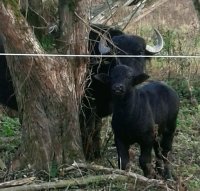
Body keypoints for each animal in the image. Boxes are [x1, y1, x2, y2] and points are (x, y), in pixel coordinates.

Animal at [80, 24, 165, 160]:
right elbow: (89, 128)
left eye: (140, 52)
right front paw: (89, 155)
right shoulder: (88, 105)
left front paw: (97, 153)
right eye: (116, 53)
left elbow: (97, 128)